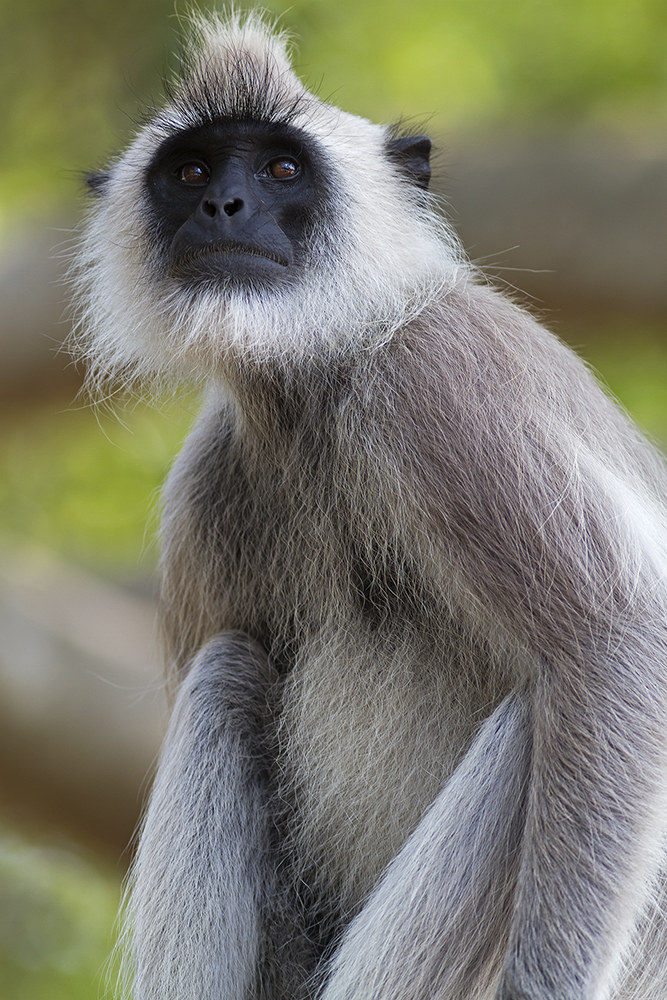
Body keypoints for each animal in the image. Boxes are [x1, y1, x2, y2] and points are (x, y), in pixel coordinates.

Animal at [72, 10, 667, 1000]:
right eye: (190, 172)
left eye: (281, 169)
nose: (222, 208)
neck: (323, 371)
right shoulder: (209, 482)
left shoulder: (436, 381)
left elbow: (619, 640)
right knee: (225, 671)